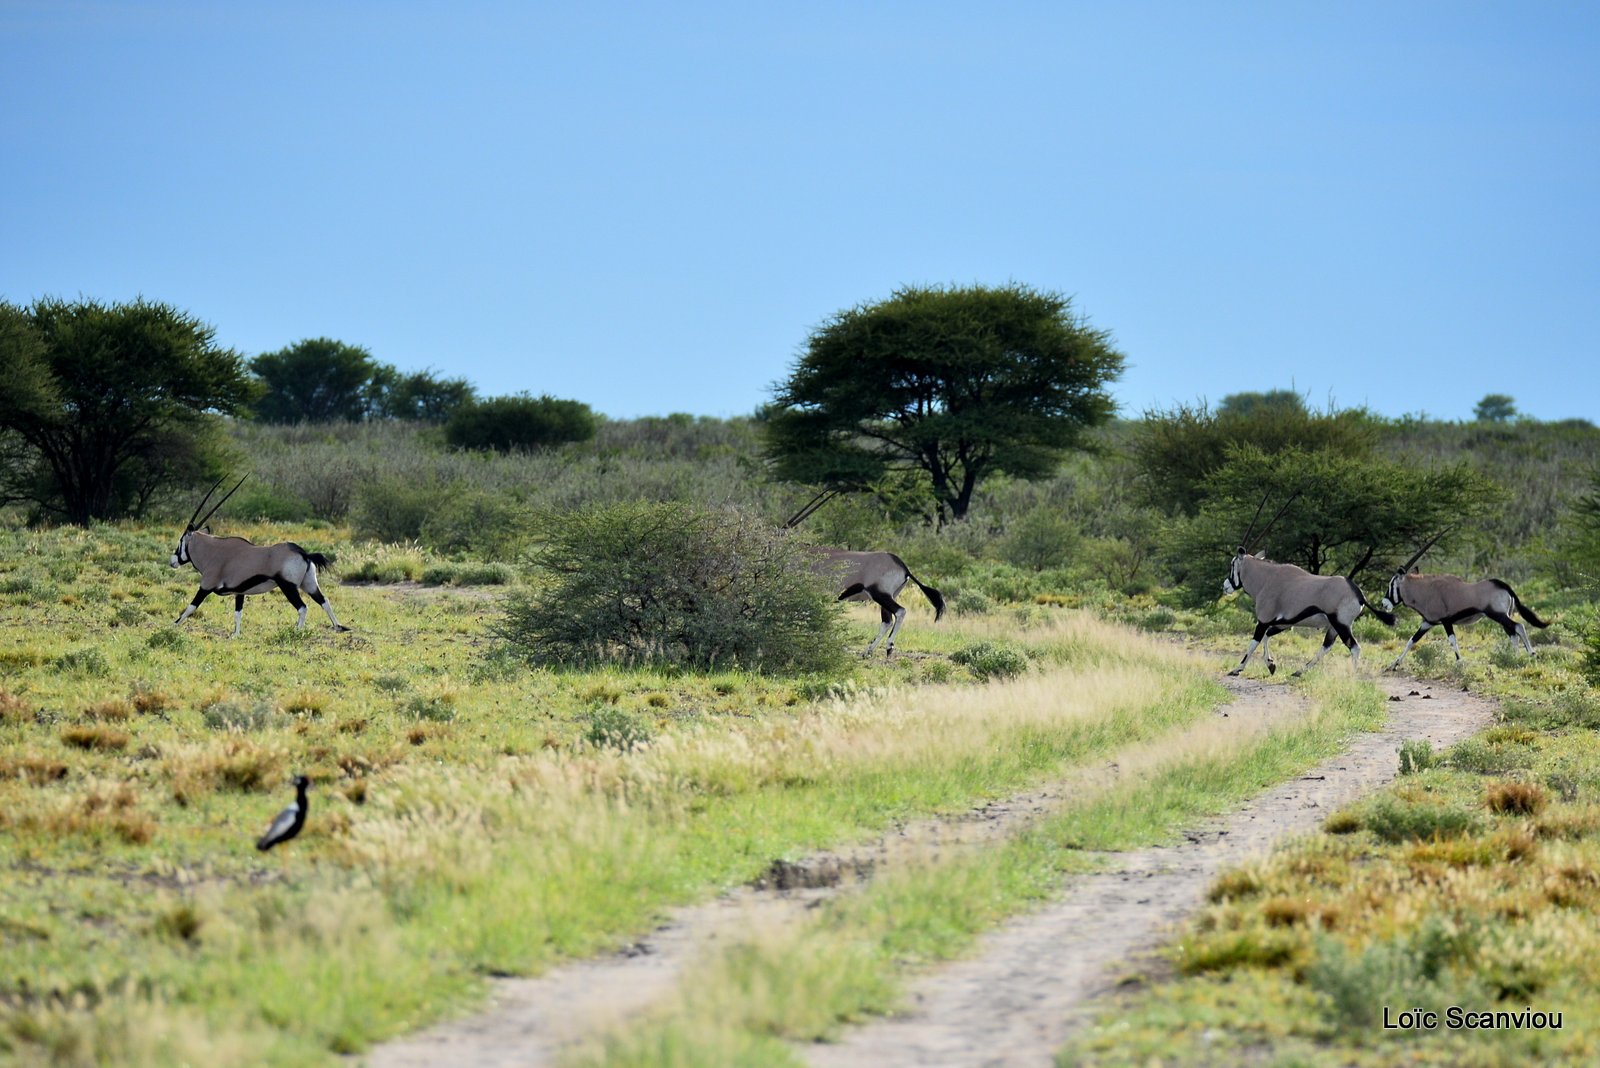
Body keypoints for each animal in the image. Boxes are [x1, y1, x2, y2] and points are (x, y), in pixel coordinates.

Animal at [170, 473, 348, 633]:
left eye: (180, 541)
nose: (172, 561)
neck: (213, 551)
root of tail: (304, 554)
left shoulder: (206, 586)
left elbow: (191, 607)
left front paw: (173, 625)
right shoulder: (239, 592)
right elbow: (238, 613)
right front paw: (235, 635)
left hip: (288, 586)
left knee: (303, 607)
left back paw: (297, 632)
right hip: (309, 583)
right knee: (323, 601)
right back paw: (339, 627)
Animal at [1222, 495, 1388, 674]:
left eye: (1232, 564)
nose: (1225, 586)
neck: (1266, 578)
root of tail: (1359, 594)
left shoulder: (1264, 620)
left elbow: (1254, 643)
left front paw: (1237, 668)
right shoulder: (1283, 623)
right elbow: (1267, 636)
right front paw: (1271, 664)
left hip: (1341, 624)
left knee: (1354, 647)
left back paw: (1352, 675)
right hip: (1334, 627)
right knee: (1326, 647)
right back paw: (1299, 671)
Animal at [1382, 530, 1542, 671]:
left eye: (1392, 584)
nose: (1383, 603)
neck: (1425, 590)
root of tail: (1503, 585)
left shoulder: (1446, 621)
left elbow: (1452, 641)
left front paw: (1460, 663)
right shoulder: (1427, 623)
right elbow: (1411, 641)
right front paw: (1394, 664)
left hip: (1498, 615)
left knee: (1519, 626)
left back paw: (1531, 654)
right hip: (1503, 617)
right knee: (1513, 634)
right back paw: (1516, 658)